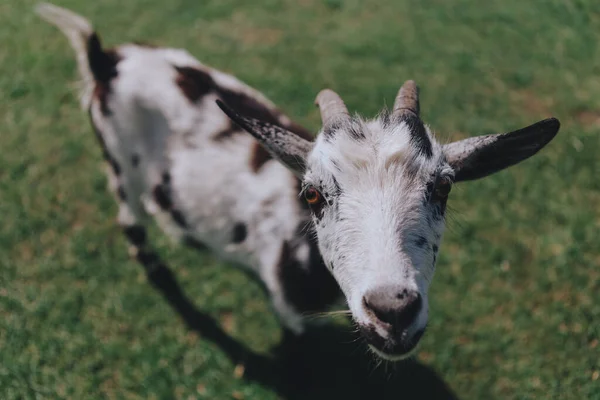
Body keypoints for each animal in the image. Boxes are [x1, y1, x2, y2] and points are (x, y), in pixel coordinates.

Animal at [39, 2, 560, 360]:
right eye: (312, 194)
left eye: (444, 187)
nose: (393, 310)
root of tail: (106, 58)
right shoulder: (288, 310)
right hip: (117, 160)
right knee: (129, 215)